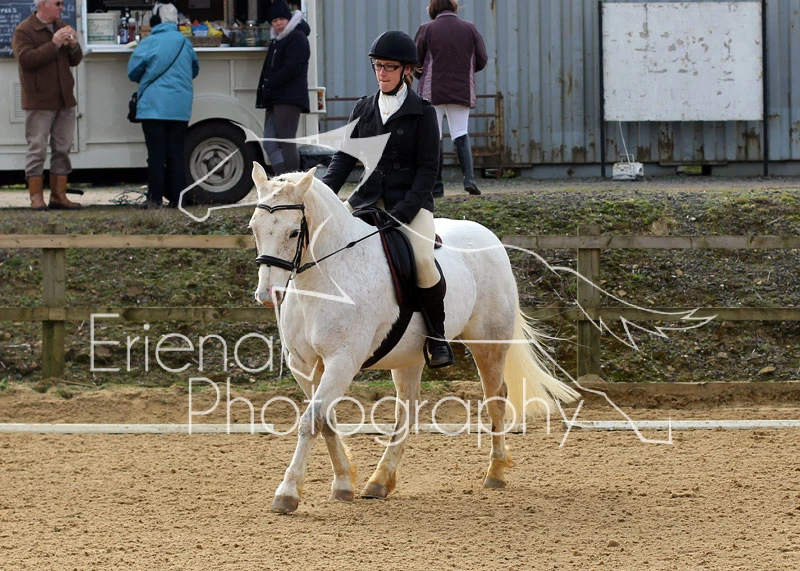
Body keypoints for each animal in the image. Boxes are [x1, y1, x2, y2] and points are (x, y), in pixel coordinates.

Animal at [248, 163, 579, 513]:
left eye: (293, 232)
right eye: (254, 228)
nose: (267, 295)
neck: (325, 278)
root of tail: (487, 235)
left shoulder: (342, 361)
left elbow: (312, 420)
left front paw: (287, 493)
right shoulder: (304, 365)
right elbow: (326, 420)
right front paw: (343, 483)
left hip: (488, 343)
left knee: (496, 398)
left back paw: (496, 473)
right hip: (408, 357)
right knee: (406, 412)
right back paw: (379, 481)